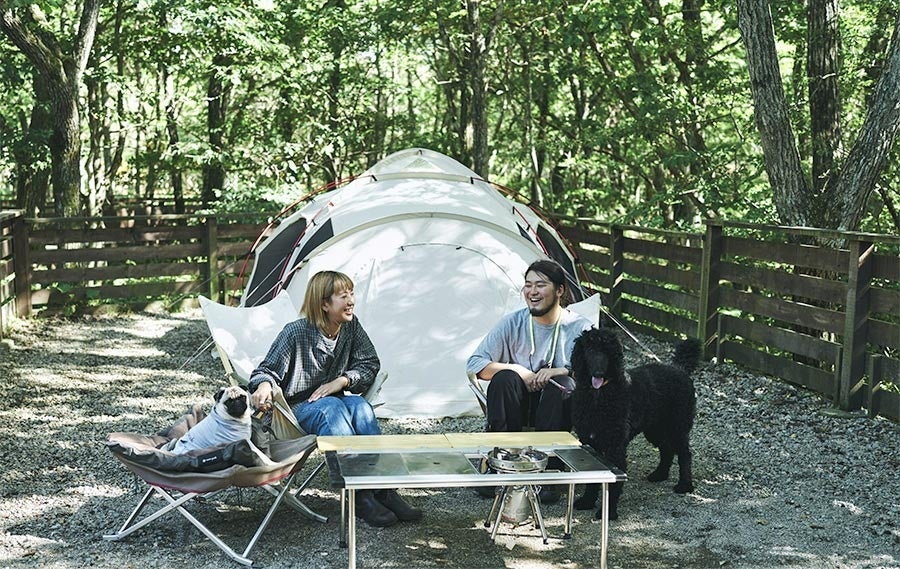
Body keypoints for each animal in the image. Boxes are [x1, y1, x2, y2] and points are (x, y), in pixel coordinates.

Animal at [568, 328, 704, 520]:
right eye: (590, 350)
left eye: (608, 352)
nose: (599, 373)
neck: (599, 395)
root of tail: (680, 368)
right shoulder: (589, 441)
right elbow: (592, 476)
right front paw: (587, 501)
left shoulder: (615, 446)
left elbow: (614, 483)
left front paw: (609, 512)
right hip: (656, 429)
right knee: (667, 449)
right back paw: (659, 474)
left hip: (677, 427)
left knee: (685, 454)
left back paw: (684, 485)